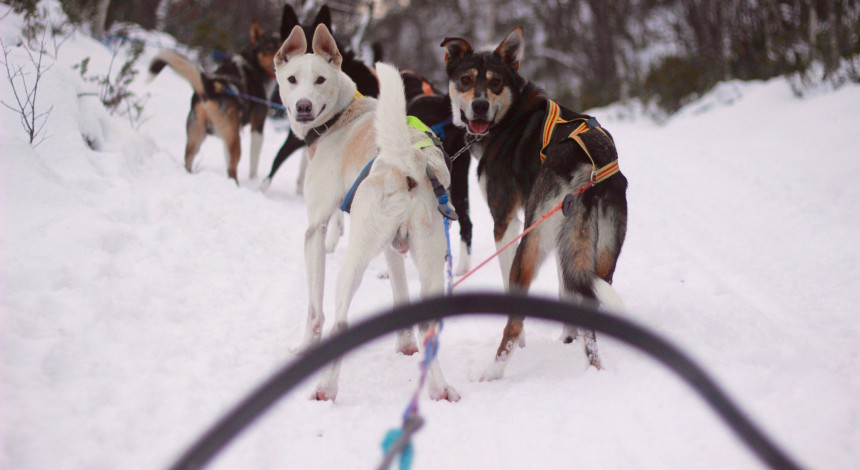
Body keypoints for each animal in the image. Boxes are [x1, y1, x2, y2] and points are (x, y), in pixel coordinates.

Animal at [148, 23, 280, 183]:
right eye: (268, 49)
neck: (253, 65)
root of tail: (210, 87)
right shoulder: (257, 127)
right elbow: (253, 162)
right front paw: (253, 180)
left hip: (197, 138)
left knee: (188, 162)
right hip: (235, 140)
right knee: (231, 170)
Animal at [278, 23, 460, 402]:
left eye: (319, 79)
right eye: (292, 79)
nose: (303, 106)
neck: (341, 116)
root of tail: (410, 163)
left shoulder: (314, 232)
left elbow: (313, 310)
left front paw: (302, 348)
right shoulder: (393, 248)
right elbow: (400, 295)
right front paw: (404, 345)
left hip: (355, 257)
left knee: (340, 321)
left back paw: (325, 389)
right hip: (429, 256)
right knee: (429, 327)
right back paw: (438, 389)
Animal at [440, 27, 628, 380]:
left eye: (495, 83)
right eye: (466, 79)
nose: (480, 105)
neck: (511, 116)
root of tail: (591, 167)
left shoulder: (506, 223)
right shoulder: (562, 241)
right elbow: (567, 289)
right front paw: (567, 335)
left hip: (531, 241)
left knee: (512, 324)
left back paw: (492, 371)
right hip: (600, 254)